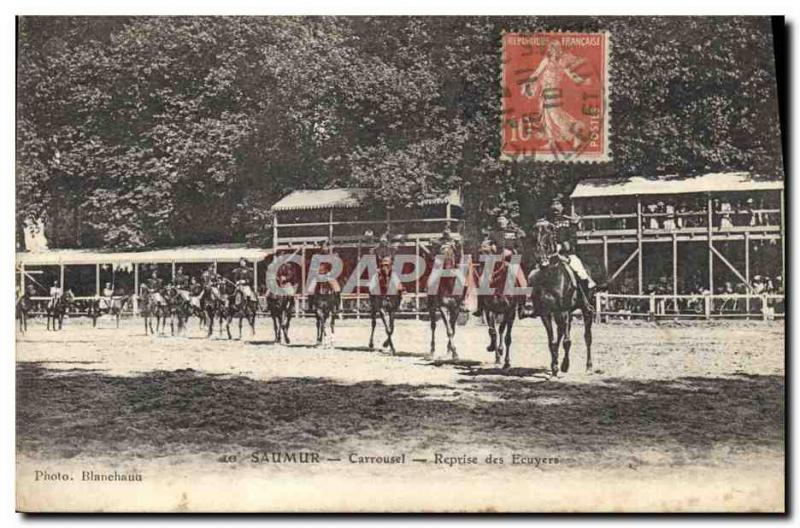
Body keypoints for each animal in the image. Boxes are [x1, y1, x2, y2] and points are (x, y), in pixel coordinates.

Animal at [532, 221, 592, 378]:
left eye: (549, 236)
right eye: (534, 236)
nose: (541, 260)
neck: (550, 276)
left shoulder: (564, 311)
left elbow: (567, 341)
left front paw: (564, 366)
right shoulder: (546, 314)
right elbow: (552, 341)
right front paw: (554, 367)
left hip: (583, 310)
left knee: (587, 336)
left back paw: (589, 366)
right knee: (560, 334)